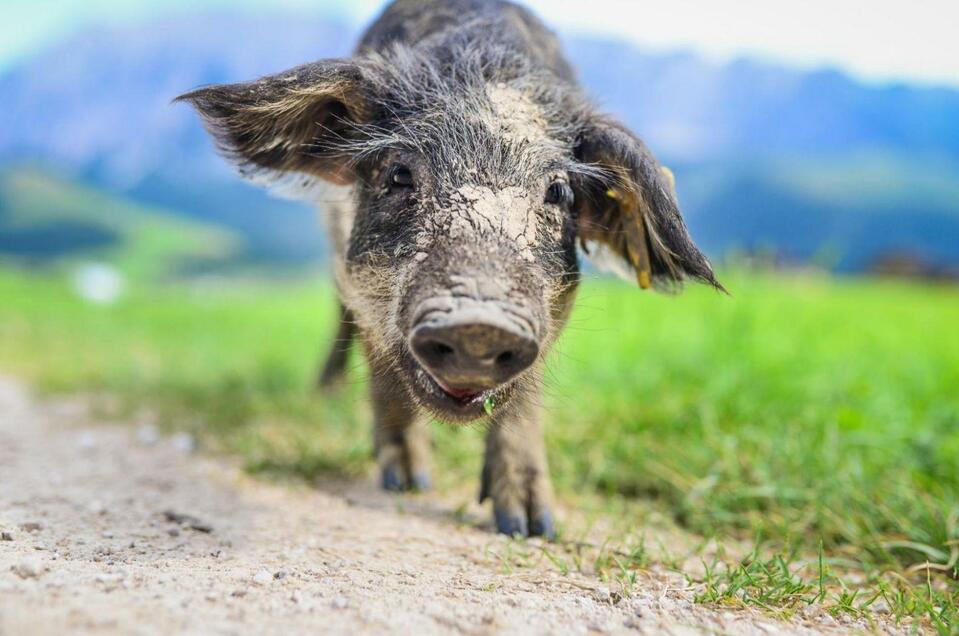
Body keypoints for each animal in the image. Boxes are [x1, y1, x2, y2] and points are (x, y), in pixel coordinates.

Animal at [178, 0, 720, 540]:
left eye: (558, 192)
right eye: (398, 174)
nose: (478, 323)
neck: (482, 72)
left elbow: (524, 394)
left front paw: (529, 527)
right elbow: (380, 359)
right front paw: (408, 484)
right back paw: (328, 399)